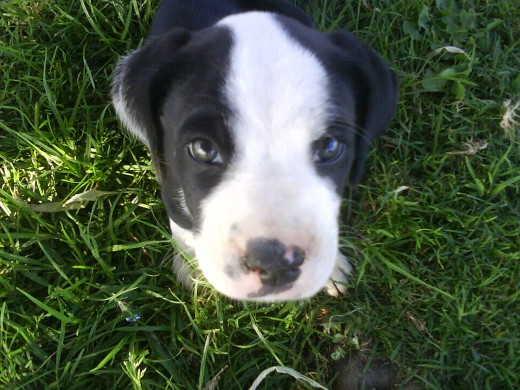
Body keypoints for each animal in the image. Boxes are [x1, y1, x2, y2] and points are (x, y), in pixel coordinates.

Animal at [112, 0, 398, 302]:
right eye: (203, 149)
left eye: (330, 147)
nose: (274, 263)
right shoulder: (171, 188)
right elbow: (183, 228)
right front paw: (190, 266)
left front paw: (331, 269)